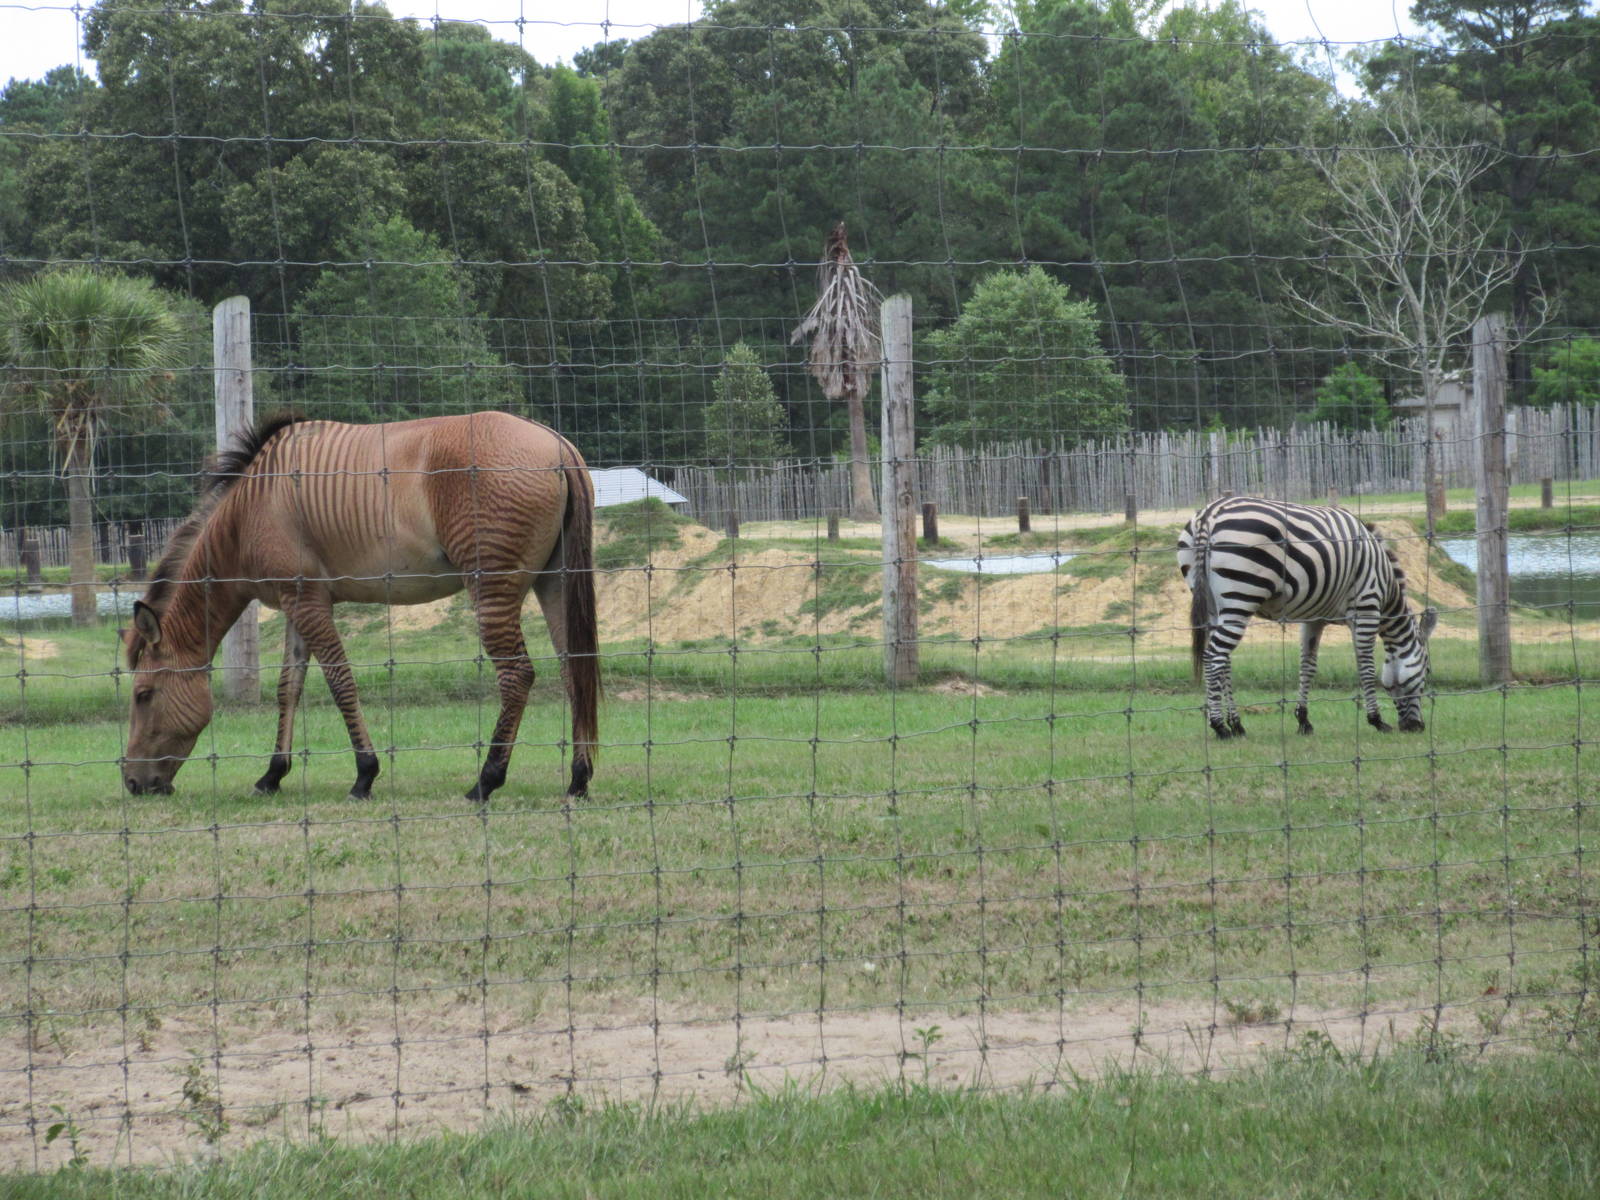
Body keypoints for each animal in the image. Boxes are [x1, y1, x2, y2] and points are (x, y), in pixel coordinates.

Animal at [122, 411, 600, 802]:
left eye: (143, 694)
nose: (131, 782)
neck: (251, 508)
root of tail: (557, 447)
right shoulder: (298, 605)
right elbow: (289, 687)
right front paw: (273, 774)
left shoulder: (309, 605)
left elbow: (340, 683)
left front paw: (365, 774)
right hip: (553, 583)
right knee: (573, 670)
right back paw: (578, 779)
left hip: (493, 592)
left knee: (517, 676)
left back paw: (487, 780)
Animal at [1177, 495, 1437, 739]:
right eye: (1426, 673)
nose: (1417, 727)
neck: (1386, 588)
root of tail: (1210, 514)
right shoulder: (1366, 606)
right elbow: (1365, 665)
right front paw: (1376, 720)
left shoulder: (1314, 618)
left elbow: (1308, 665)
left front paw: (1303, 720)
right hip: (1241, 595)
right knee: (1214, 657)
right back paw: (1220, 726)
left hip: (1213, 603)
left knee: (1224, 661)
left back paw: (1237, 725)